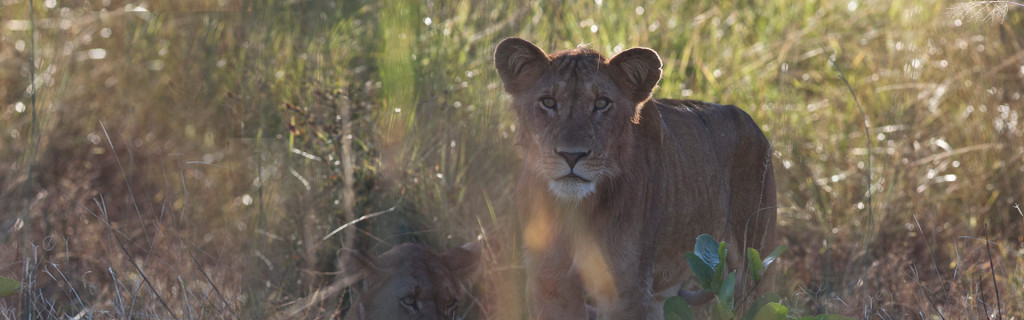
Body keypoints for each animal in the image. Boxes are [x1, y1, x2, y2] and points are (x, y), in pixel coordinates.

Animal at [495, 38, 774, 320]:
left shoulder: (625, 290)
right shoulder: (549, 283)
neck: (576, 210)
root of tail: (749, 120)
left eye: (601, 103)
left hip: (753, 266)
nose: (571, 155)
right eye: (548, 102)